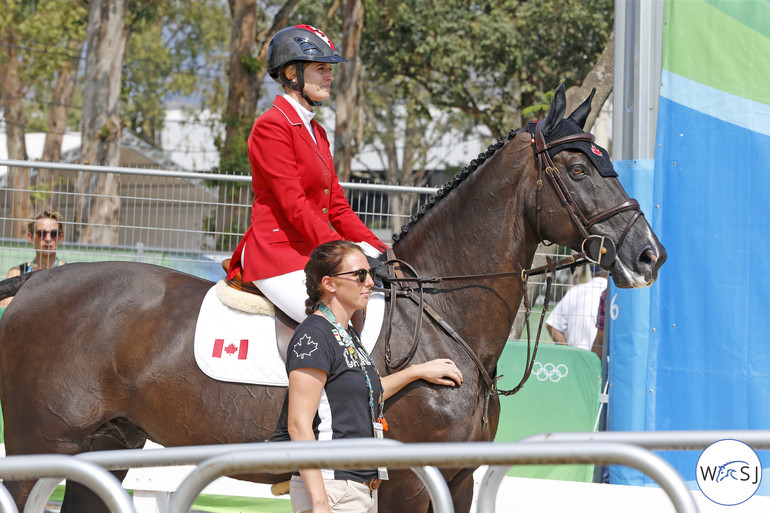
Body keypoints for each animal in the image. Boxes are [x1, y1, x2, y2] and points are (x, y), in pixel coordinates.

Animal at [0, 85, 664, 512]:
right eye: (578, 169)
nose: (649, 256)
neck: (442, 317)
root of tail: (35, 281)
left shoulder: (460, 477)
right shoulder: (407, 483)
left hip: (105, 449)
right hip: (40, 448)